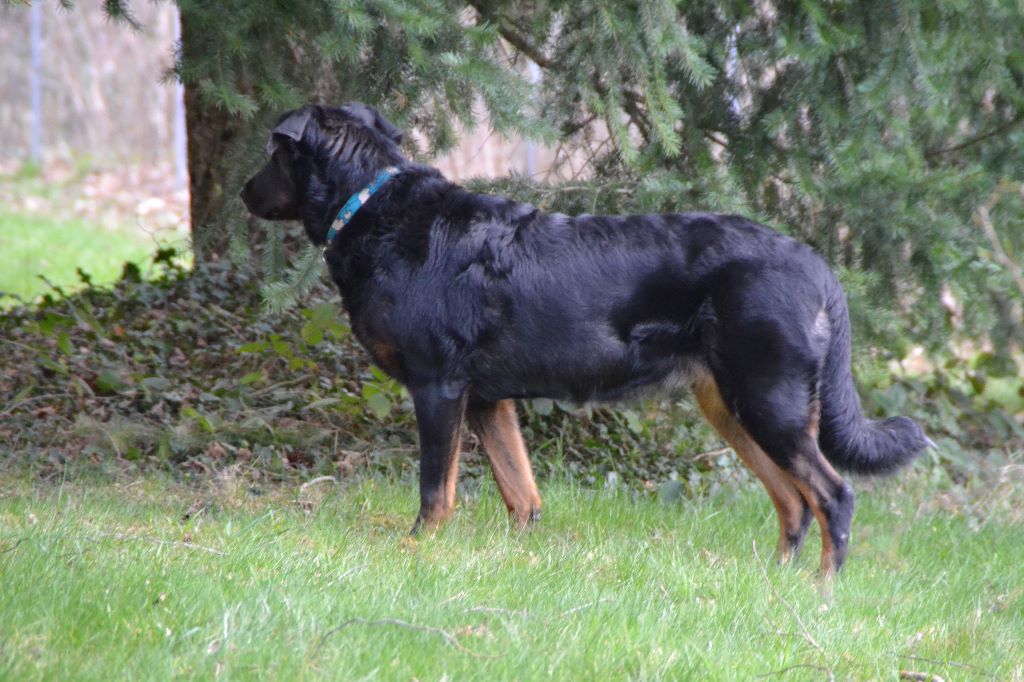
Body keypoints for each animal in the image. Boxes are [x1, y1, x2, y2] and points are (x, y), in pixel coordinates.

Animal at [239, 102, 929, 573]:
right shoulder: (488, 400)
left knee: (833, 497)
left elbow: (437, 489)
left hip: (767, 400)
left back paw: (820, 591)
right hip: (734, 406)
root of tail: (819, 267)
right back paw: (775, 582)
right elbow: (521, 494)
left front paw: (417, 550)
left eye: (273, 153)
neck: (375, 209)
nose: (243, 192)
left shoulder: (439, 387)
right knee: (793, 501)